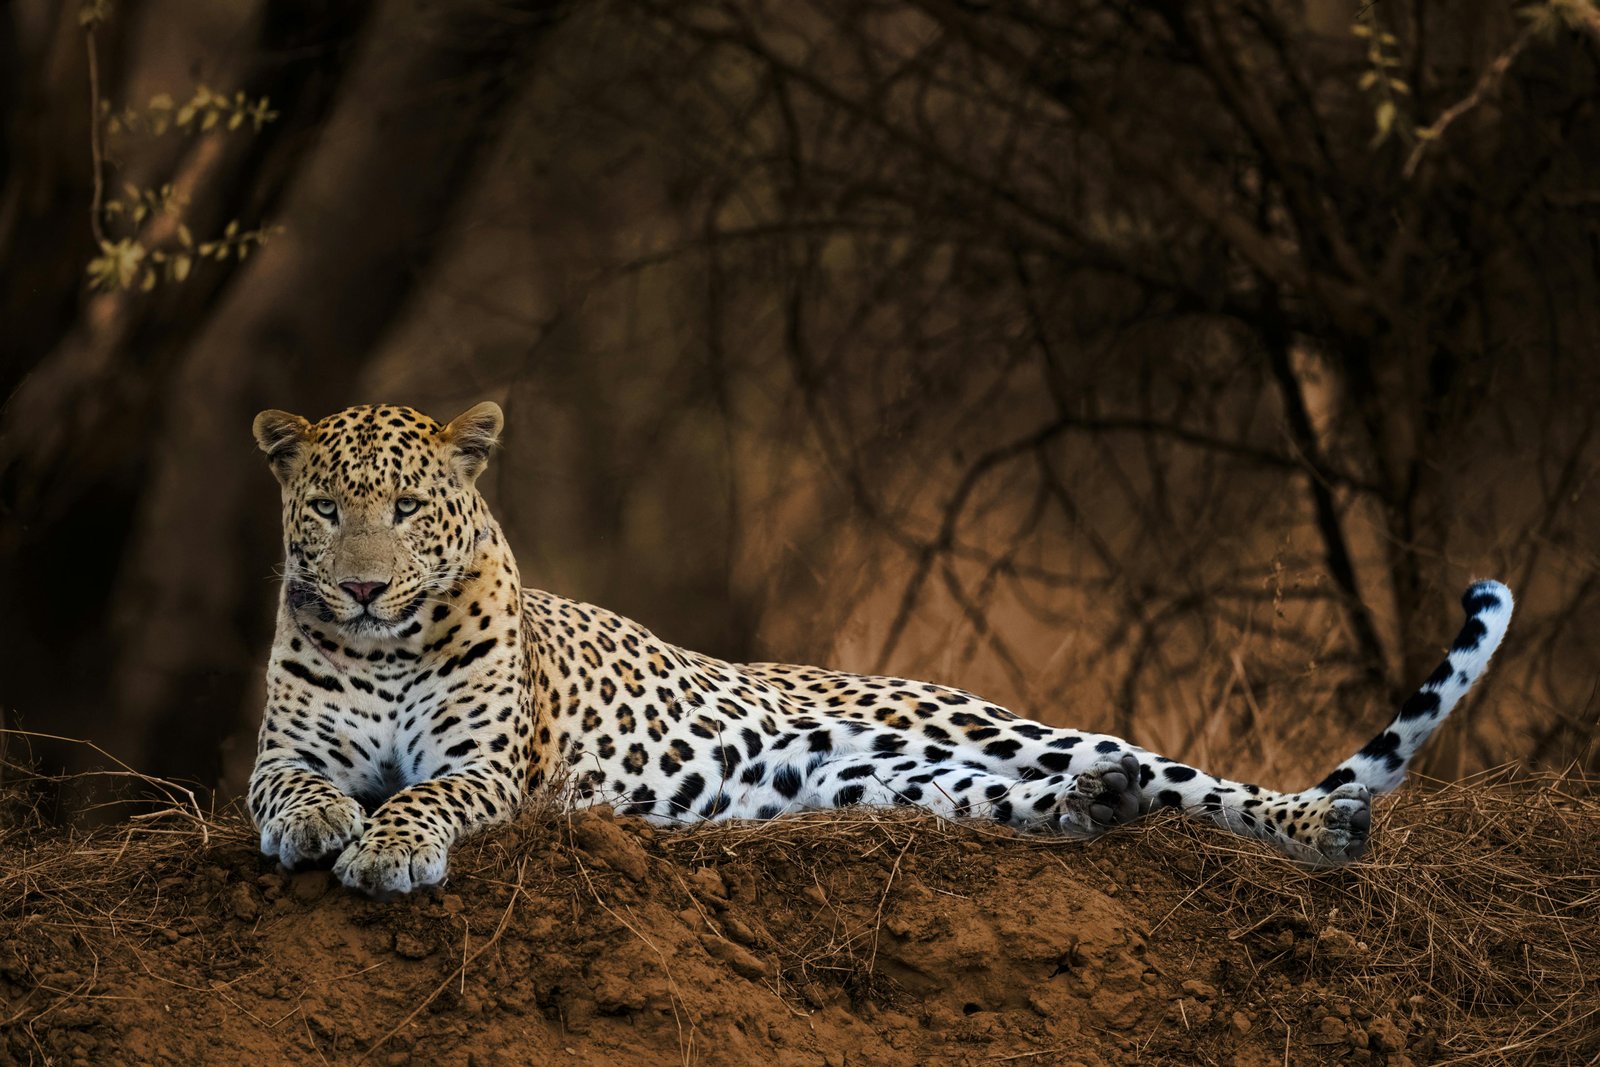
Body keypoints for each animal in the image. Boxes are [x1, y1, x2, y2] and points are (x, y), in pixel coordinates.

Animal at [246, 404, 1510, 895]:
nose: (360, 584)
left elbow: (426, 794)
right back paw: (1092, 803)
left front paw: (385, 847)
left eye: (408, 509)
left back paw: (1320, 823)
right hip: (878, 776)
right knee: (1066, 791)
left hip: (974, 718)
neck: (385, 648)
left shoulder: (486, 763)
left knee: (1191, 776)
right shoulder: (281, 747)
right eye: (326, 508)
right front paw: (318, 825)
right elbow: (296, 782)